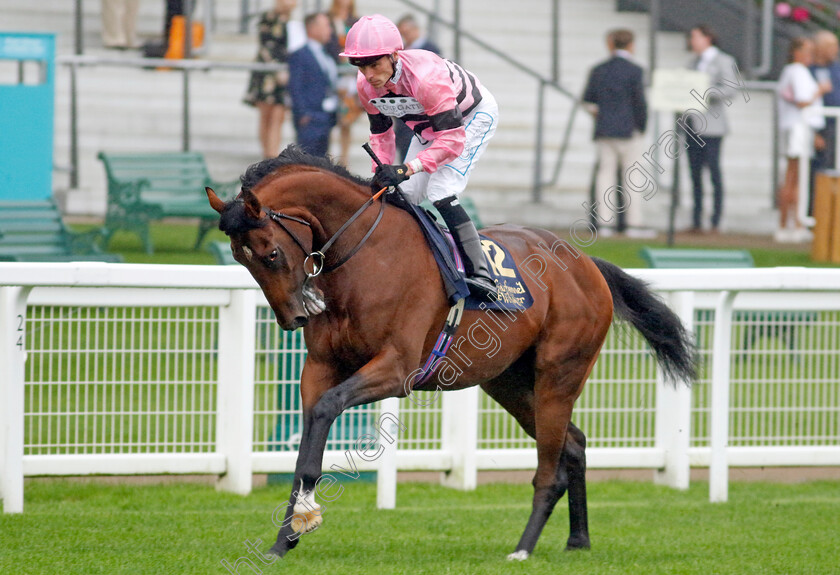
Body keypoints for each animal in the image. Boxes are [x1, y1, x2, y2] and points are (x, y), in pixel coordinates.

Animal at [205, 146, 696, 560]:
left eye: (270, 254)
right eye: (240, 259)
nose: (295, 317)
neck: (365, 257)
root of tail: (586, 263)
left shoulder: (397, 369)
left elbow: (327, 410)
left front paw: (302, 519)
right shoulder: (321, 367)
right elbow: (307, 443)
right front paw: (284, 537)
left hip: (560, 374)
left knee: (550, 468)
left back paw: (523, 549)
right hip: (510, 383)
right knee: (573, 445)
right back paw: (578, 539)